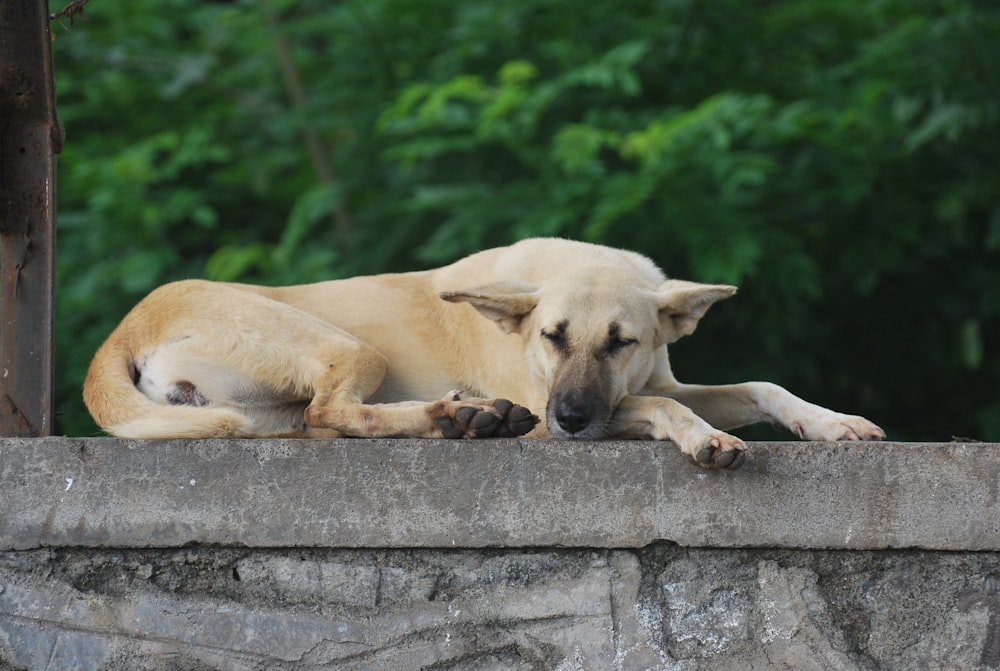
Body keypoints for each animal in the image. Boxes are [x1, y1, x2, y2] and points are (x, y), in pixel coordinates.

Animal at [86, 239, 884, 470]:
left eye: (621, 341)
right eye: (551, 336)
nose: (569, 419)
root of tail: (123, 330)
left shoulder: (651, 378)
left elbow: (760, 386)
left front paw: (831, 421)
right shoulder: (566, 407)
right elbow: (658, 404)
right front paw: (704, 439)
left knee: (317, 422)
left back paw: (463, 418)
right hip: (348, 347)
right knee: (336, 411)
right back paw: (458, 417)